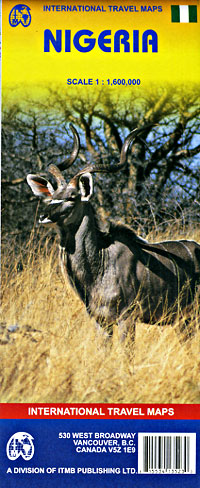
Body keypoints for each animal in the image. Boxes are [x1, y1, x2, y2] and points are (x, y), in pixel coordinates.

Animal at [27, 124, 200, 342]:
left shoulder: (127, 318)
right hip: (184, 321)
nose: (44, 215)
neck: (101, 261)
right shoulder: (101, 321)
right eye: (52, 197)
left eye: (72, 197)